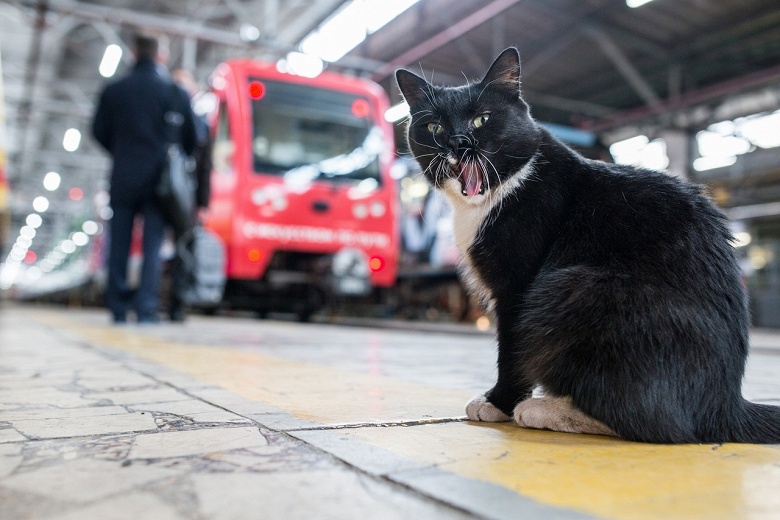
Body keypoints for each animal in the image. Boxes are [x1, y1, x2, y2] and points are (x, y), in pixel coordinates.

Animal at [396, 47, 780, 442]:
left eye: (481, 119)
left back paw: (545, 409)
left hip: (576, 287)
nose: (458, 142)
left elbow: (512, 348)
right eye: (435, 127)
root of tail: (724, 403)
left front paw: (499, 402)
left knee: (657, 422)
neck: (494, 196)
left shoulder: (519, 286)